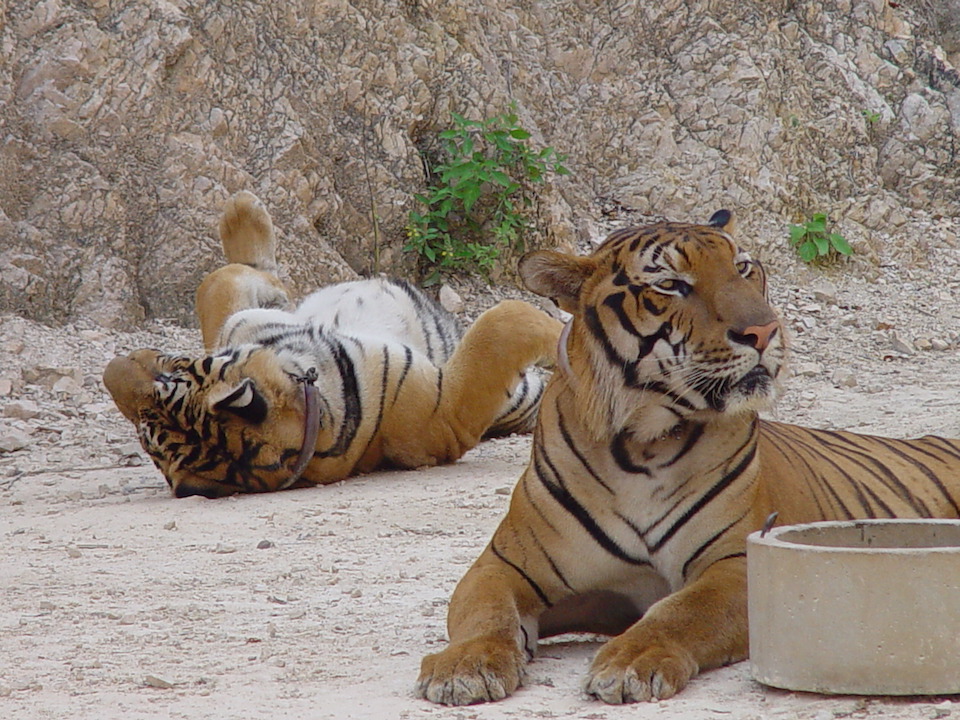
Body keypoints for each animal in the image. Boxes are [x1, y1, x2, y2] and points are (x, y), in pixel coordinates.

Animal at [103, 188, 564, 498]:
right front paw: (564, 332)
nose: (111, 368)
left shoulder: (241, 322)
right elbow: (505, 322)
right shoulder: (448, 408)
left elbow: (222, 281)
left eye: (171, 372)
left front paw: (242, 210)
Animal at [416, 208, 960, 704]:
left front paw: (630, 662)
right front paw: (464, 667)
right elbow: (485, 613)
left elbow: (682, 612)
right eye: (672, 285)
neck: (641, 443)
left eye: (743, 268)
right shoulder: (503, 565)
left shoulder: (735, 561)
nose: (765, 331)